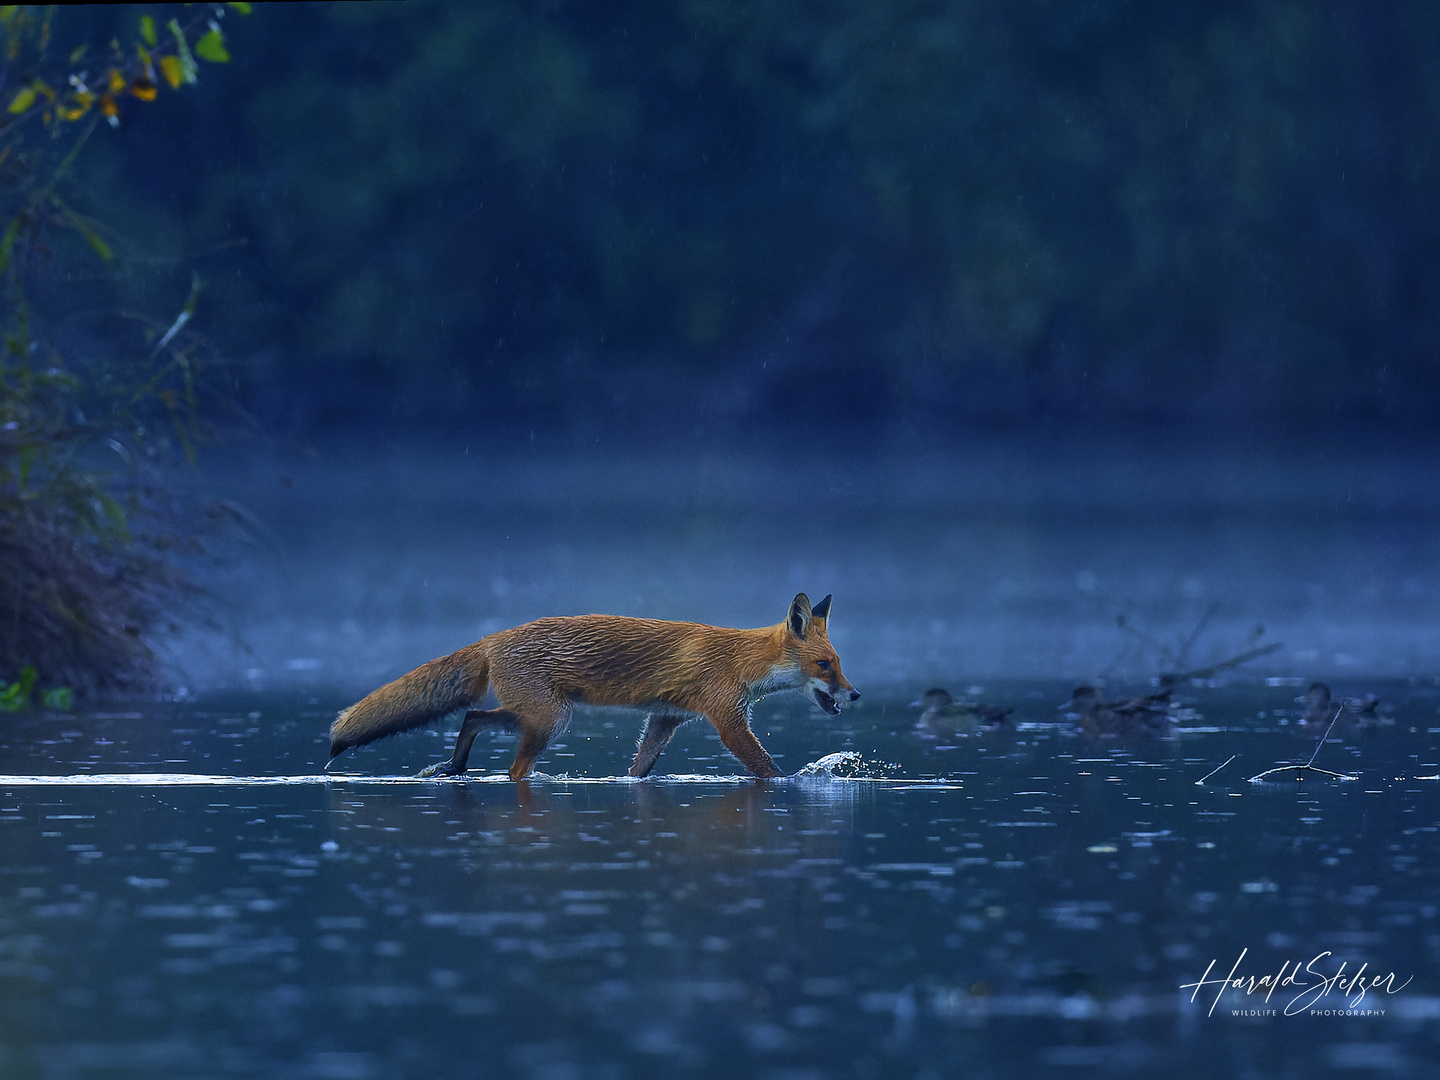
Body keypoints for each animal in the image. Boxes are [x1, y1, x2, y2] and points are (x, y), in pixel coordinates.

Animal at [331, 593, 858, 777]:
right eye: (825, 665)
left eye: (839, 664)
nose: (855, 694)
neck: (741, 660)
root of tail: (491, 638)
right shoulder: (728, 720)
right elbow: (766, 768)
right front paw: (793, 783)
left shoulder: (665, 718)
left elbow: (640, 770)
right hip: (551, 719)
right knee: (513, 768)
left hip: (536, 715)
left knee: (472, 717)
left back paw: (455, 767)